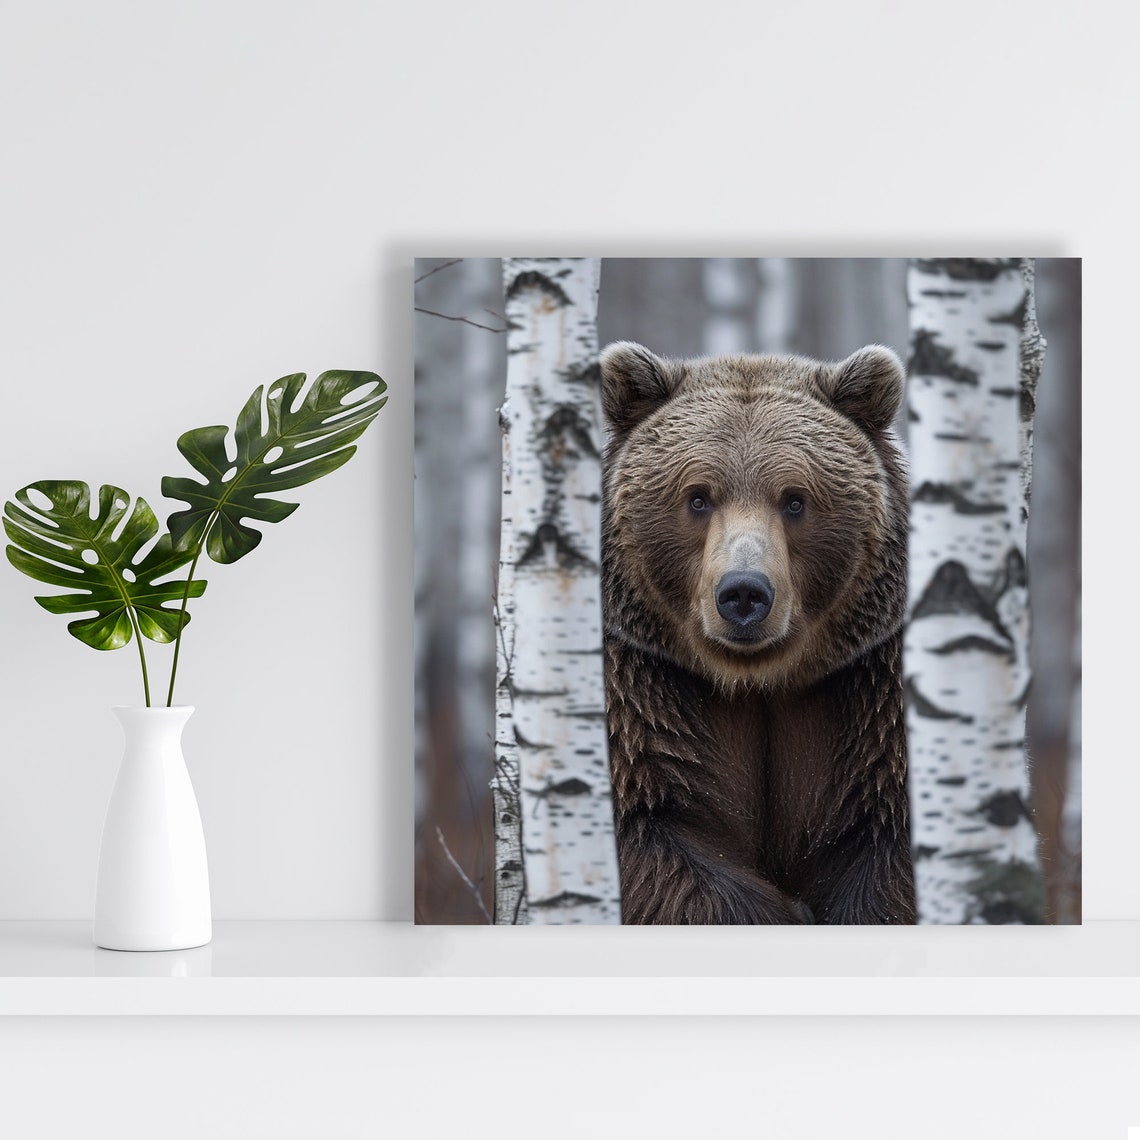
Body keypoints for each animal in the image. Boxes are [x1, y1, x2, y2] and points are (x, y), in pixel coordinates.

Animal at [598, 341, 916, 925]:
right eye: (698, 497)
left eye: (795, 499)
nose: (744, 593)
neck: (758, 681)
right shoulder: (644, 689)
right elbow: (657, 845)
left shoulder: (870, 692)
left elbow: (886, 857)